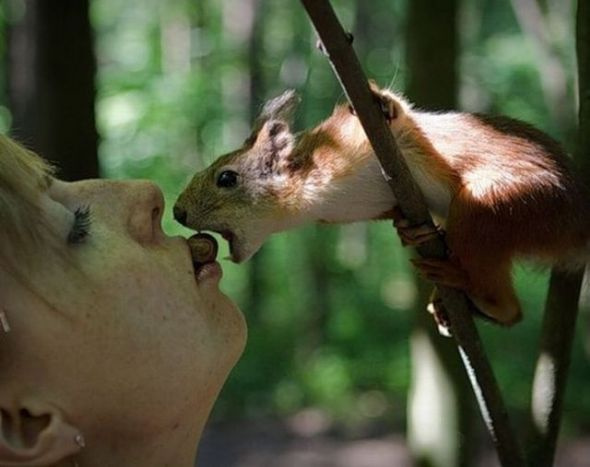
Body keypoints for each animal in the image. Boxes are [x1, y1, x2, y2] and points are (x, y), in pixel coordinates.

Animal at [176, 84, 590, 326]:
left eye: (226, 178)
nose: (178, 212)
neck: (313, 199)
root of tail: (575, 224)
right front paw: (408, 230)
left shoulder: (358, 139)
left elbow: (400, 117)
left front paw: (379, 101)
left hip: (498, 207)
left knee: (508, 305)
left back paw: (468, 287)